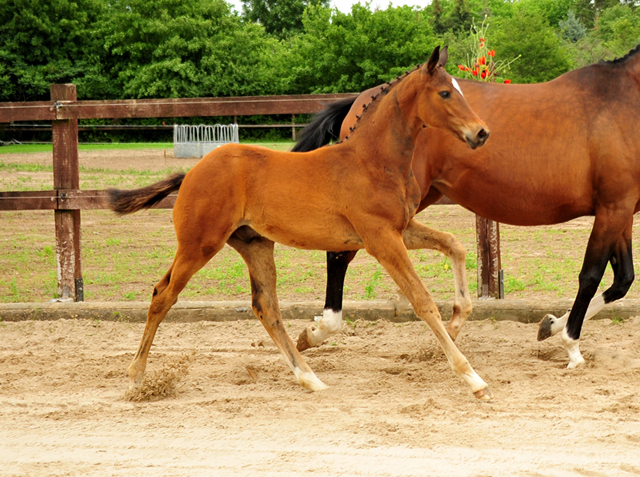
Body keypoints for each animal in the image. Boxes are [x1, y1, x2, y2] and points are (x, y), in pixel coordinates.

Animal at [107, 47, 492, 398]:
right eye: (445, 93)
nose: (481, 132)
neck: (371, 161)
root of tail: (190, 174)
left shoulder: (398, 229)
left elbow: (454, 245)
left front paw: (460, 316)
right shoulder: (381, 238)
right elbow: (422, 300)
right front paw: (472, 378)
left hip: (254, 244)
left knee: (266, 307)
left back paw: (309, 377)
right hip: (198, 245)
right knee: (163, 295)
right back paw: (136, 378)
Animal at [298, 44, 640, 370]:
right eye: (445, 93)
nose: (481, 133)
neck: (626, 101)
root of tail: (363, 101)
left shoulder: (620, 211)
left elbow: (623, 279)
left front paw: (550, 325)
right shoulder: (613, 208)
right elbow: (591, 276)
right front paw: (571, 347)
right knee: (339, 254)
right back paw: (321, 330)